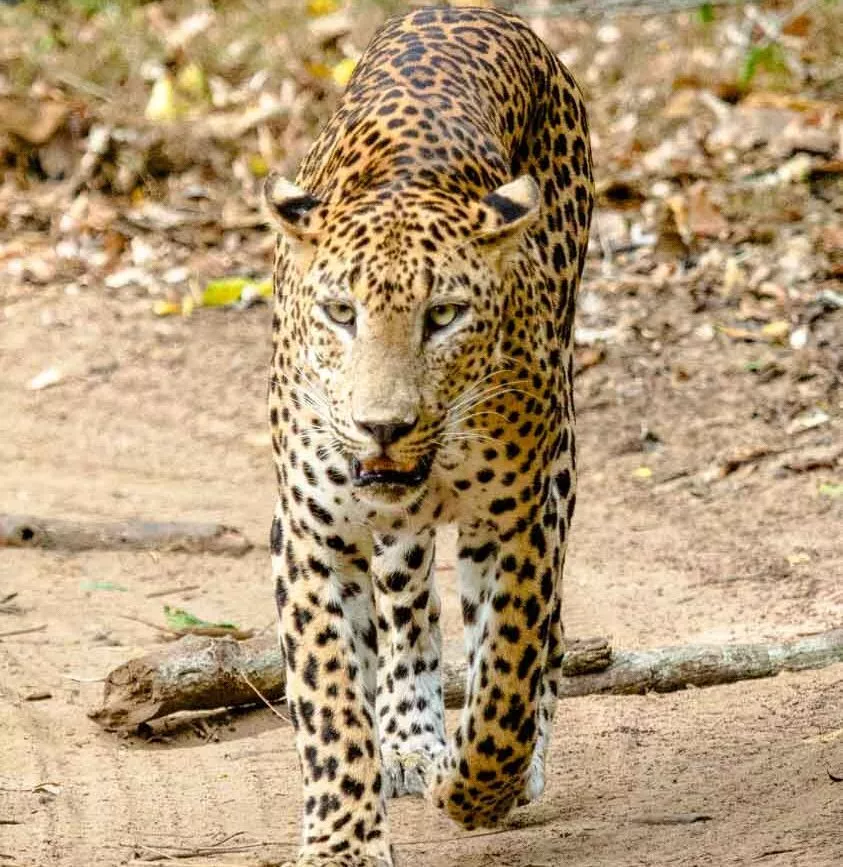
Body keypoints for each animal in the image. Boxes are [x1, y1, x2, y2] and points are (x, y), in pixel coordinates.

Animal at [263, 7, 593, 867]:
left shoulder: (521, 517)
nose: (383, 427)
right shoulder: (310, 533)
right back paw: (409, 737)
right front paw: (342, 841)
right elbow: (330, 697)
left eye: (442, 315)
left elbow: (507, 668)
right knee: (408, 600)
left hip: (559, 457)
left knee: (526, 634)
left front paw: (478, 786)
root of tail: (469, 11)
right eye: (340, 313)